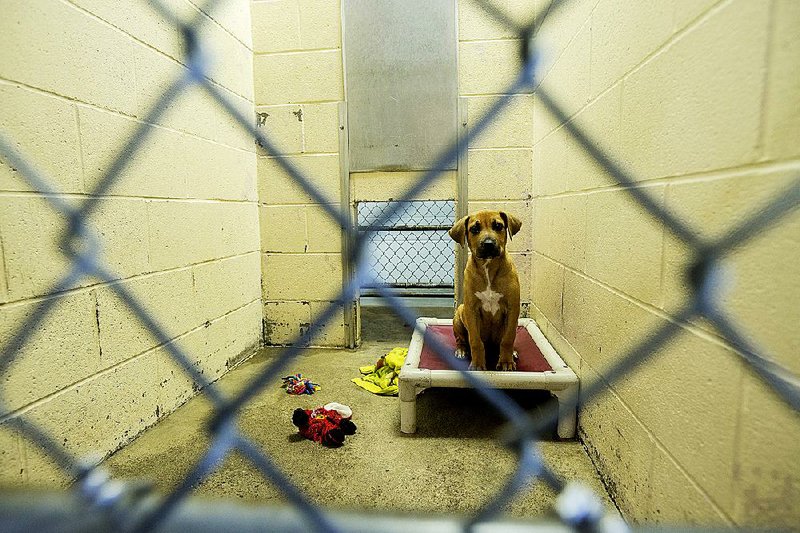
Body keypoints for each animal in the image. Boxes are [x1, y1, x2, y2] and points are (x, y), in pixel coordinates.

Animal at [446, 209, 520, 370]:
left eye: (498, 226)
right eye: (474, 229)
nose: (488, 244)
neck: (488, 267)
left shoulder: (512, 308)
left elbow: (508, 338)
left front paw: (506, 361)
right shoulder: (471, 310)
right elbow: (475, 341)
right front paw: (478, 364)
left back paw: (513, 352)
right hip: (459, 315)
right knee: (462, 340)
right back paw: (461, 351)